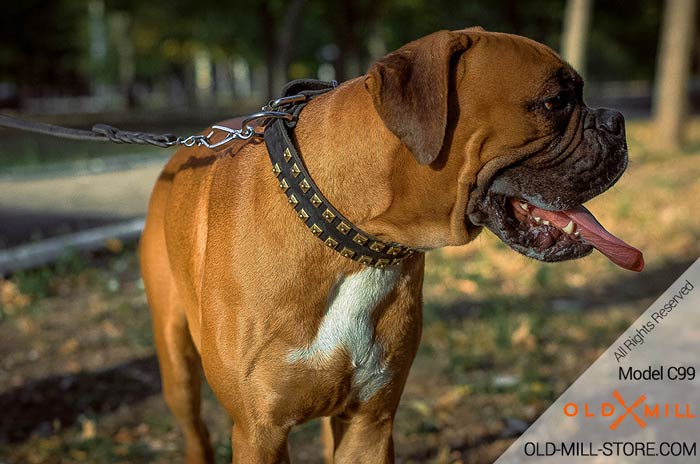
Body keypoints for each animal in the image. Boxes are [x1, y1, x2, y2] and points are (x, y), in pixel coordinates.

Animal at [139, 28, 644, 464]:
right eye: (555, 102)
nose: (617, 122)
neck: (355, 242)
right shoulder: (259, 432)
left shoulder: (371, 422)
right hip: (177, 366)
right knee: (195, 429)